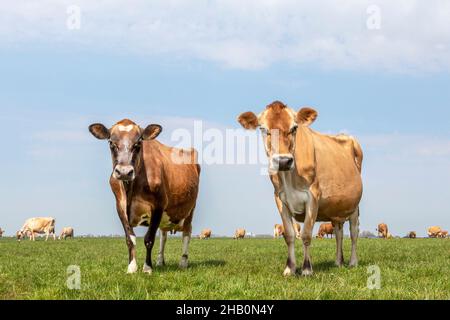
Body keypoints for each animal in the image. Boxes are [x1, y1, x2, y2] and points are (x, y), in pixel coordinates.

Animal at [89, 119, 200, 274]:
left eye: (138, 144)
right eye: (111, 143)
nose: (124, 172)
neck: (131, 189)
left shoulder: (159, 205)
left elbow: (149, 239)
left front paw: (147, 268)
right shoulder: (120, 207)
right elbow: (130, 239)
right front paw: (131, 267)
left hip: (190, 209)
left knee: (186, 233)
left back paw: (183, 262)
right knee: (163, 235)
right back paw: (160, 260)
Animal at [239, 101, 362, 276]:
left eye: (294, 128)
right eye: (263, 129)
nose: (283, 161)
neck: (290, 178)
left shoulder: (313, 196)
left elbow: (306, 234)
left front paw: (306, 269)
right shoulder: (280, 199)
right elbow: (289, 235)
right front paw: (290, 268)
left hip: (355, 206)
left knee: (353, 232)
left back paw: (352, 262)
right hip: (336, 209)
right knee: (339, 233)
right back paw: (338, 262)